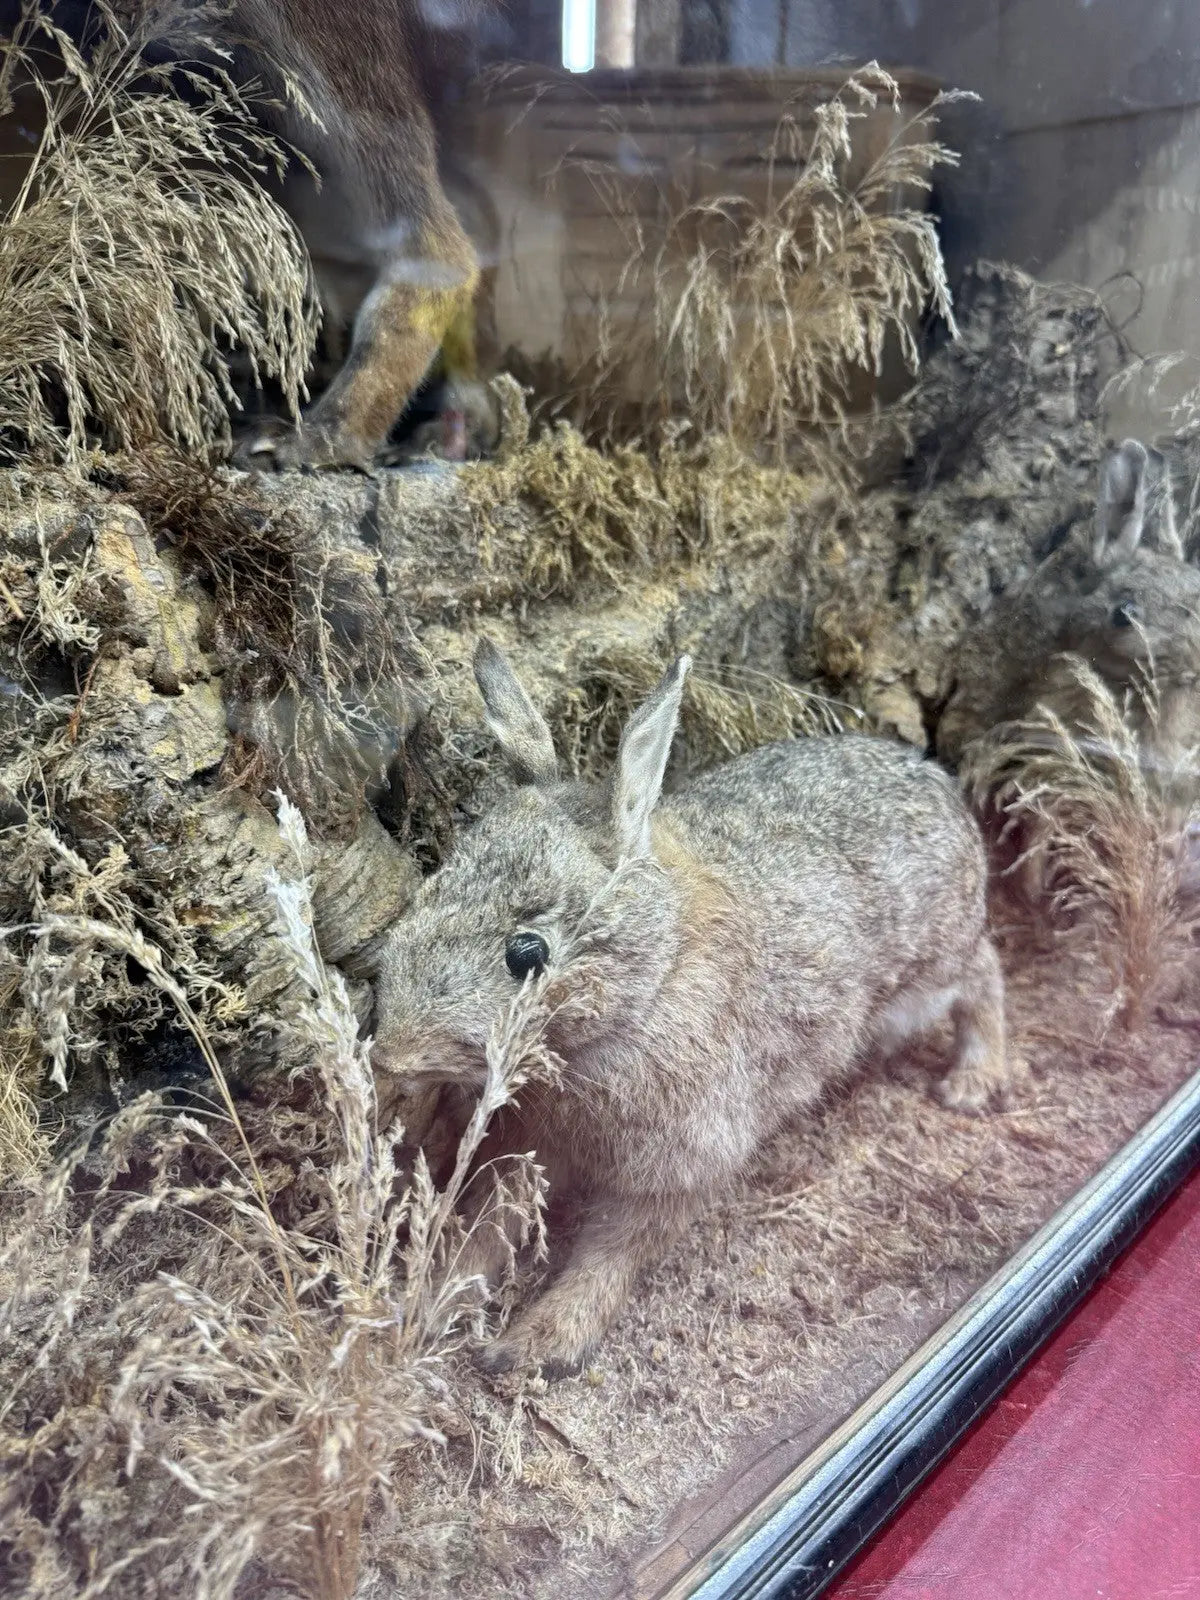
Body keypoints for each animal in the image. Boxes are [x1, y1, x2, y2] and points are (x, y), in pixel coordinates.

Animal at [370, 640, 1014, 1377]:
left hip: (932, 967)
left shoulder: (684, 1159)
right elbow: (490, 1221)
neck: (650, 979)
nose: (390, 1053)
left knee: (984, 971)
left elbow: (614, 1253)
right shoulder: (533, 1142)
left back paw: (973, 1081)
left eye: (527, 954)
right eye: (428, 889)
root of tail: (942, 788)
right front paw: (430, 1303)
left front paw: (538, 1342)